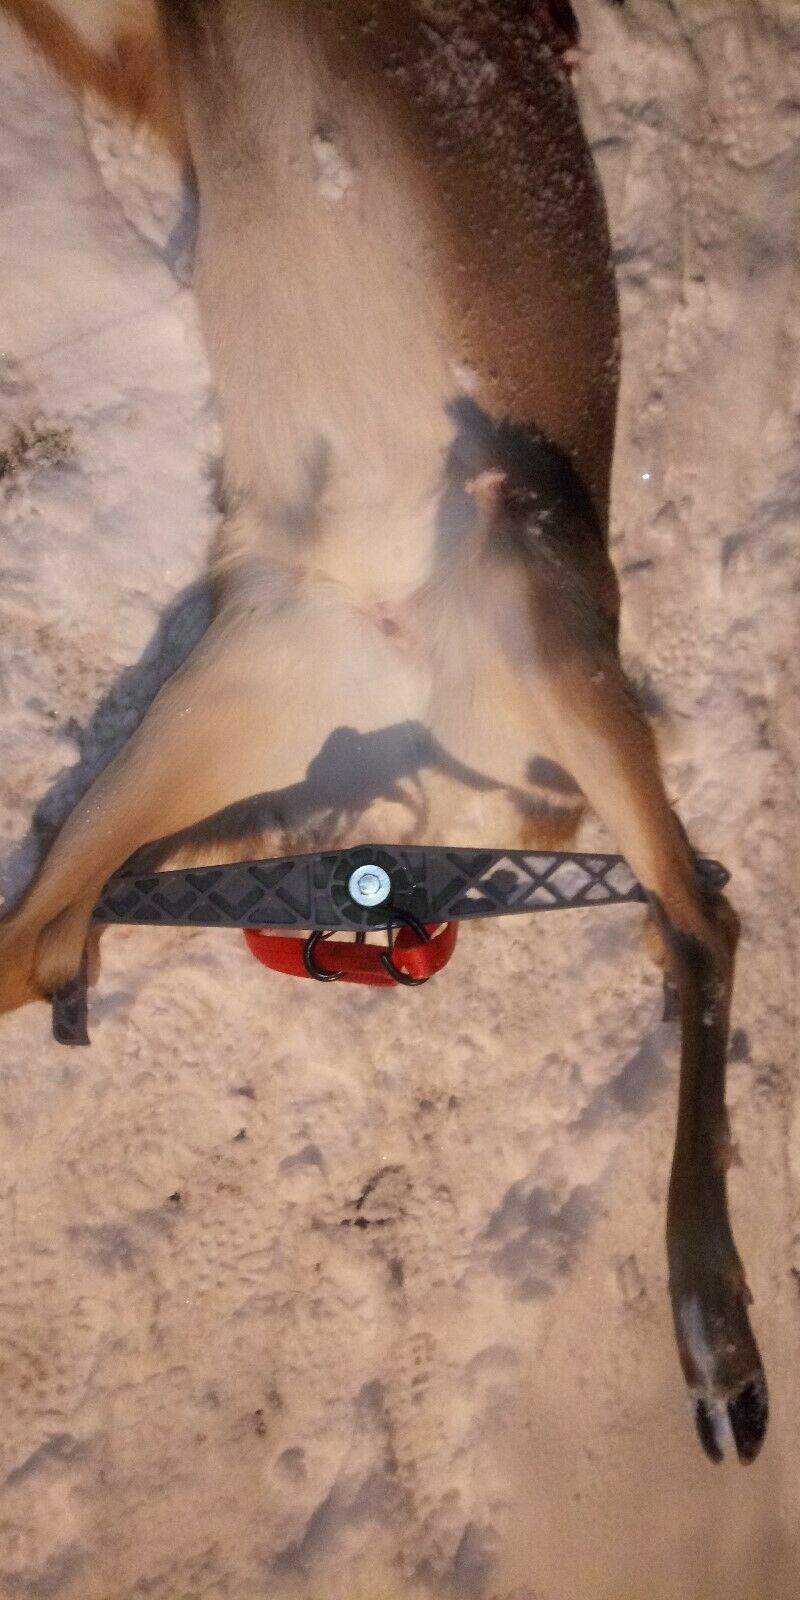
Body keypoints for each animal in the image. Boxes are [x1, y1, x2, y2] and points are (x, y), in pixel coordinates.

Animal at [0, 0, 767, 1463]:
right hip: (231, 687)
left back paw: (721, 1345)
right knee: (39, 929)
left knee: (704, 915)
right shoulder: (158, 67)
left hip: (532, 597)